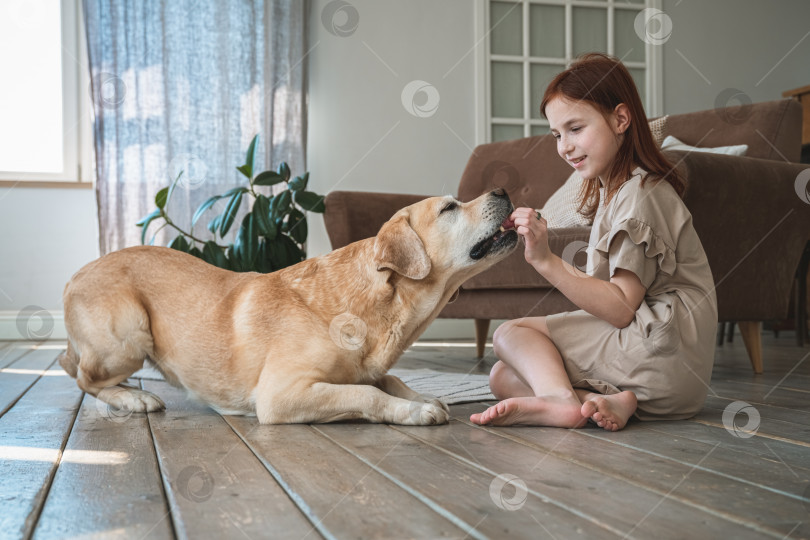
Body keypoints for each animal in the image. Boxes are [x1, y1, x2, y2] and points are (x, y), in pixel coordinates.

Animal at [56, 188, 516, 424]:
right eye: (449, 207)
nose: (502, 190)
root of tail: (75, 274)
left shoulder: (368, 368)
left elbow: (387, 379)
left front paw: (421, 396)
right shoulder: (281, 394)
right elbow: (366, 394)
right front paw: (413, 410)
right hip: (129, 333)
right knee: (82, 378)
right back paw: (134, 399)